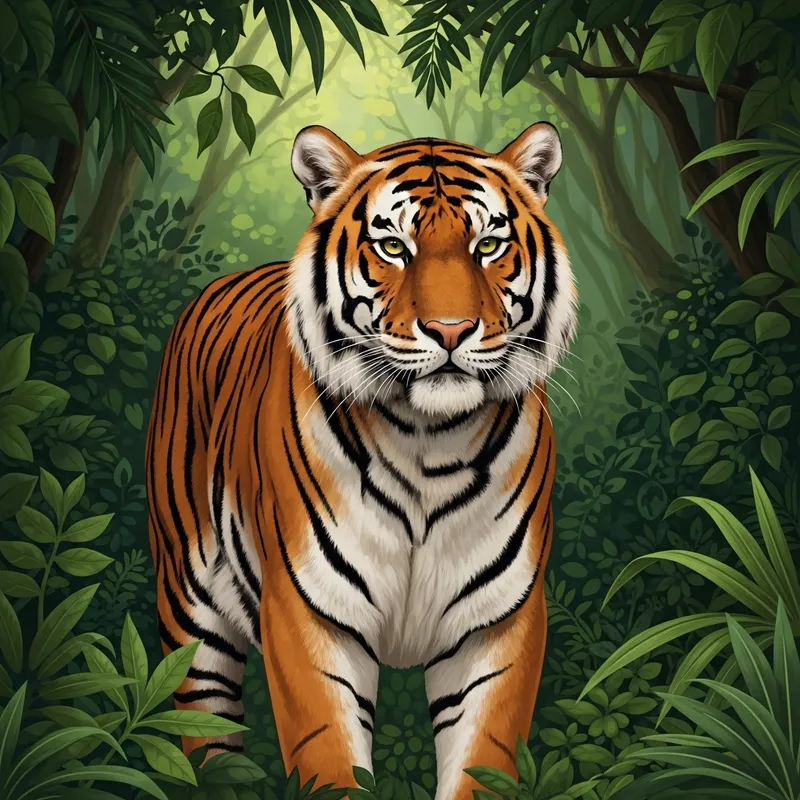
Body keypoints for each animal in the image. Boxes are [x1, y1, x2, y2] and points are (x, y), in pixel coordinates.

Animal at [146, 121, 577, 800]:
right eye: (393, 246)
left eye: (487, 243)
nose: (449, 330)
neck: (429, 439)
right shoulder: (310, 616)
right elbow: (330, 757)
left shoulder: (497, 625)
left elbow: (481, 762)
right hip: (189, 609)